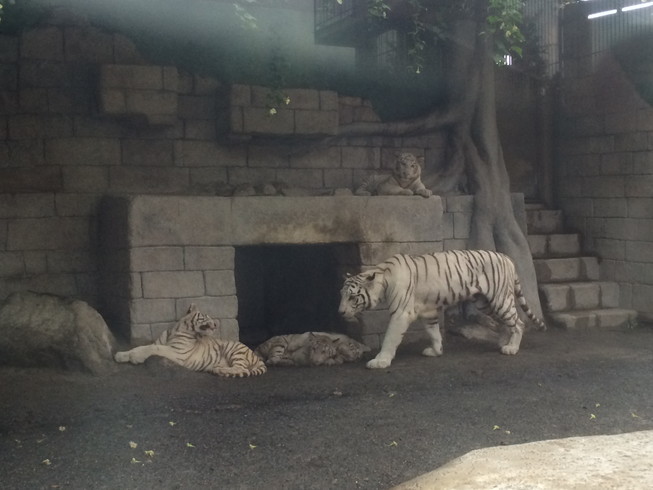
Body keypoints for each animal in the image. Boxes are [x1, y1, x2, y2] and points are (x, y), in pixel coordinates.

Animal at [113, 302, 266, 378]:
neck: (175, 331)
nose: (216, 324)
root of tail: (257, 357)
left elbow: (152, 348)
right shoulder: (161, 344)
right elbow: (143, 346)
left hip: (234, 349)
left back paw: (218, 369)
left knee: (242, 368)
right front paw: (121, 355)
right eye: (206, 316)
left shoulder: (177, 352)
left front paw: (134, 357)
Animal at [338, 251, 548, 370]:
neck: (384, 277)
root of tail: (507, 258)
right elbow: (434, 332)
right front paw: (436, 351)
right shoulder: (428, 312)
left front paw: (380, 361)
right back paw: (503, 342)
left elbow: (390, 338)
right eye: (341, 295)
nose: (339, 312)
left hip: (500, 299)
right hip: (485, 302)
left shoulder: (401, 314)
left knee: (518, 323)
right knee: (505, 323)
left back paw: (512, 348)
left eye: (352, 297)